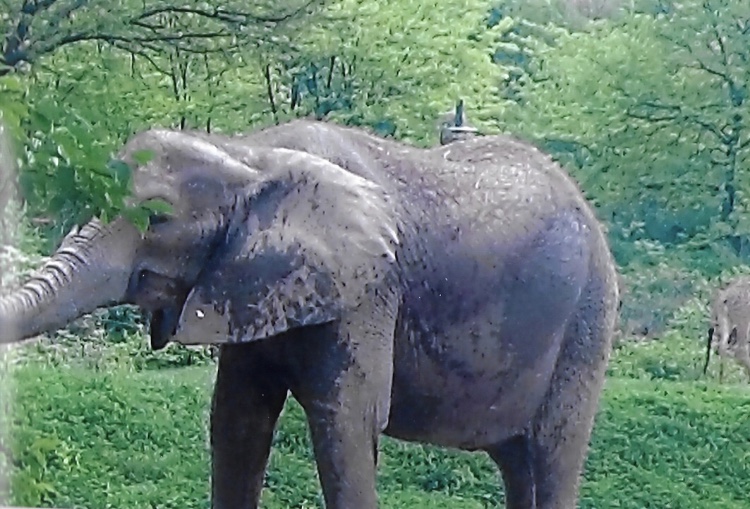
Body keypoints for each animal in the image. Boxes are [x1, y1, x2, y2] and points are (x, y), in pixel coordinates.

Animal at [0, 118, 620, 509]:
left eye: (156, 219)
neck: (246, 153)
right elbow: (237, 421)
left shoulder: (369, 287)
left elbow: (347, 422)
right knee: (518, 460)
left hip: (589, 316)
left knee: (553, 449)